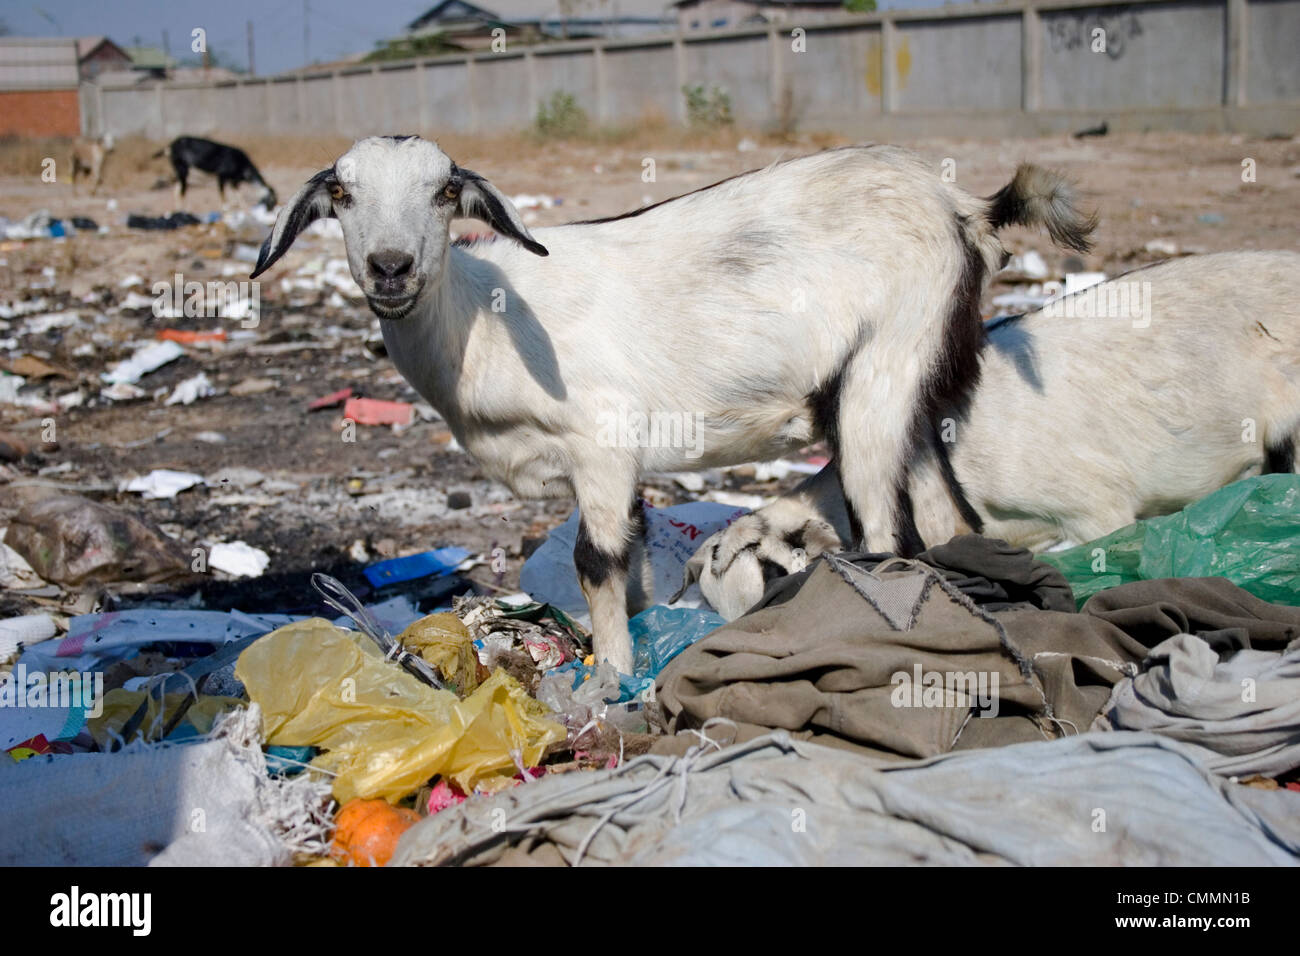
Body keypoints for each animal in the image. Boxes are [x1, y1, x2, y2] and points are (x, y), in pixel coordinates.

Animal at [250, 135, 1093, 672]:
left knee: (885, 533)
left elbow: (596, 561)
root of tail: (962, 207)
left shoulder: (600, 442)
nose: (391, 268)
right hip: (903, 380)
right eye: (341, 192)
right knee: (949, 519)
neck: (484, 316)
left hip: (883, 370)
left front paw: (610, 679)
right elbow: (629, 554)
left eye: (444, 191)